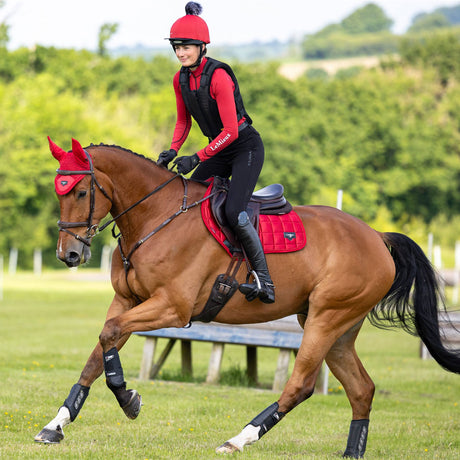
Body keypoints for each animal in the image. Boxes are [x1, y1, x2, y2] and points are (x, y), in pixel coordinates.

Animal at [36, 138, 460, 458]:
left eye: (81, 191)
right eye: (59, 193)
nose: (68, 255)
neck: (156, 216)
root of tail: (377, 236)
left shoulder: (172, 307)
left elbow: (109, 337)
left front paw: (128, 398)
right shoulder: (127, 301)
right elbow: (98, 352)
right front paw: (56, 424)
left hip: (327, 318)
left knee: (301, 385)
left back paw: (240, 438)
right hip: (338, 328)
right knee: (362, 389)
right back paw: (351, 452)